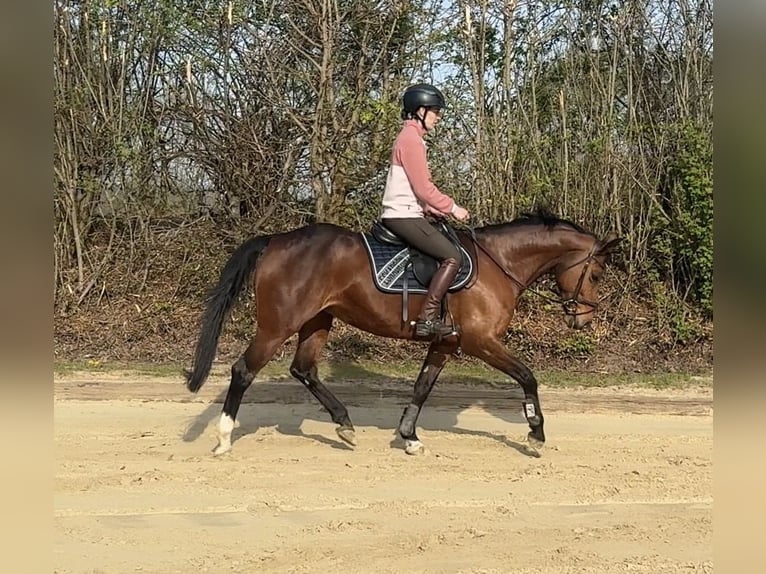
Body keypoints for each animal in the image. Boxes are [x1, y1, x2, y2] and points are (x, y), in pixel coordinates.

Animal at [184, 211, 622, 456]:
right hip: (278, 325)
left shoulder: (445, 342)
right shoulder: (480, 341)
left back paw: (344, 424)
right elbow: (528, 377)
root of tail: (275, 240)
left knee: (303, 369)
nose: (584, 320)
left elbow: (421, 388)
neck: (499, 263)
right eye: (597, 274)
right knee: (243, 371)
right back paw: (224, 437)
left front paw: (409, 437)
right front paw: (536, 433)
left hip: (317, 321)